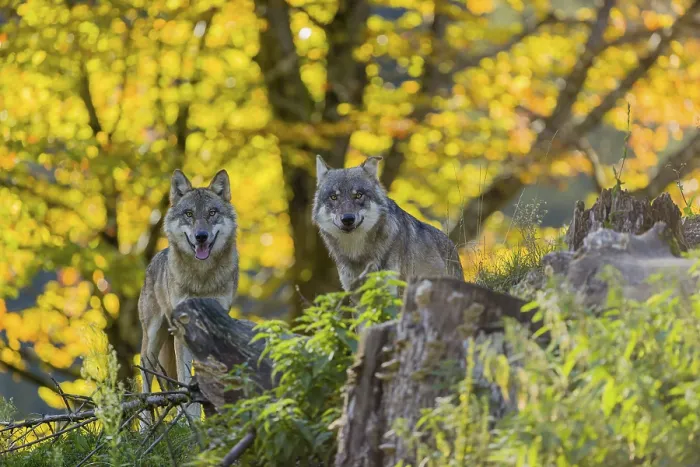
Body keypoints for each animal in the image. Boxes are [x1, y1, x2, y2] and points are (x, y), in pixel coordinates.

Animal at [138, 169, 239, 425]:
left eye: (212, 212)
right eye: (189, 214)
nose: (201, 236)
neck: (202, 277)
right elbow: (185, 380)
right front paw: (189, 421)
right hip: (152, 342)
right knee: (145, 382)